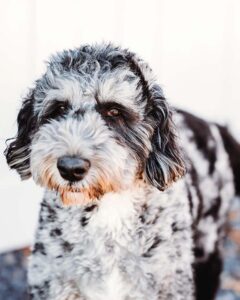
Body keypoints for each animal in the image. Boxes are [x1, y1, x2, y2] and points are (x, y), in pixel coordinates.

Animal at [4, 42, 240, 300]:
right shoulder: (51, 281)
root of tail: (215, 126)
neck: (108, 208)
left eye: (114, 112)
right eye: (59, 108)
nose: (71, 168)